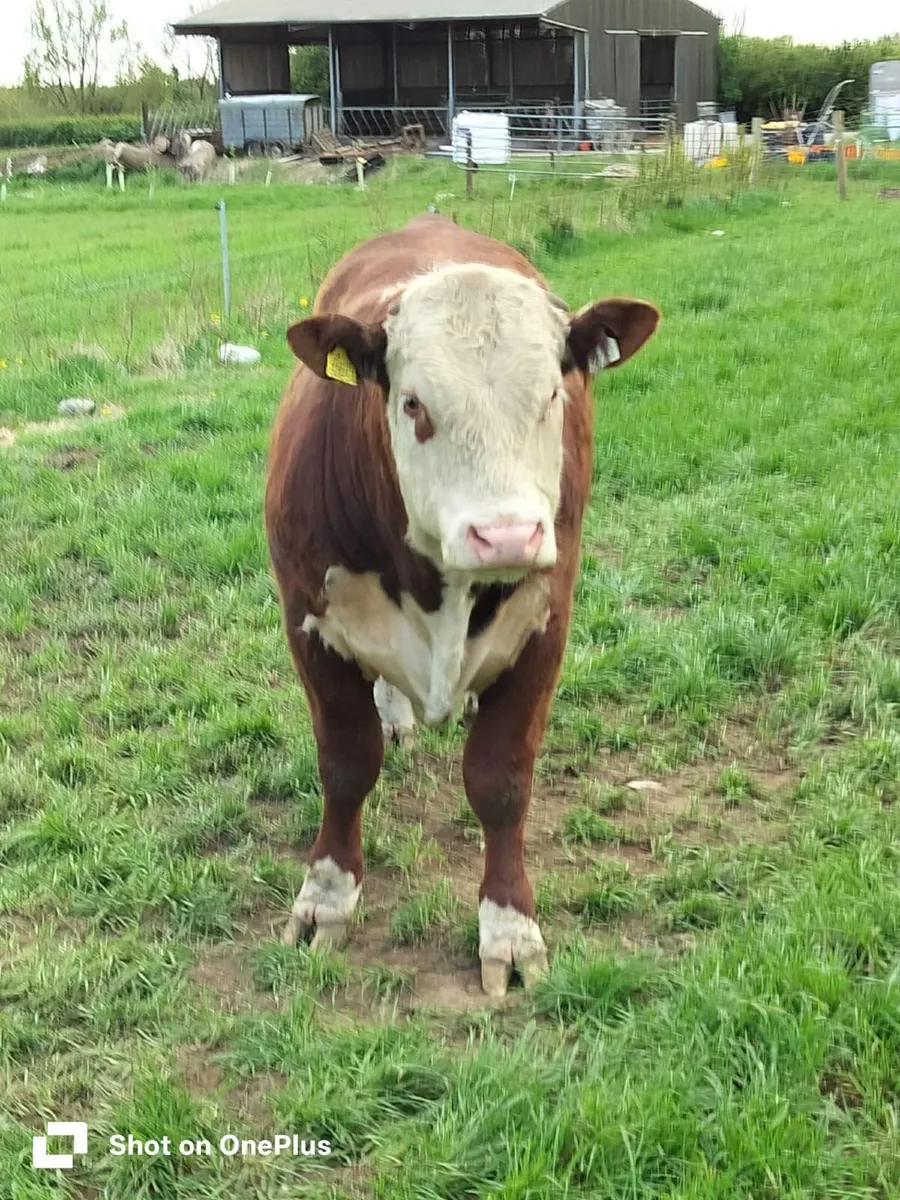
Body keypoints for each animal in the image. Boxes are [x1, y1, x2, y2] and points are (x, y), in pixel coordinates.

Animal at [265, 213, 659, 997]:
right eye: (413, 402)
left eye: (552, 395)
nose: (505, 534)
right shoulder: (309, 623)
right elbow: (345, 765)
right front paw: (325, 901)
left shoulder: (545, 627)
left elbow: (501, 780)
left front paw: (509, 929)